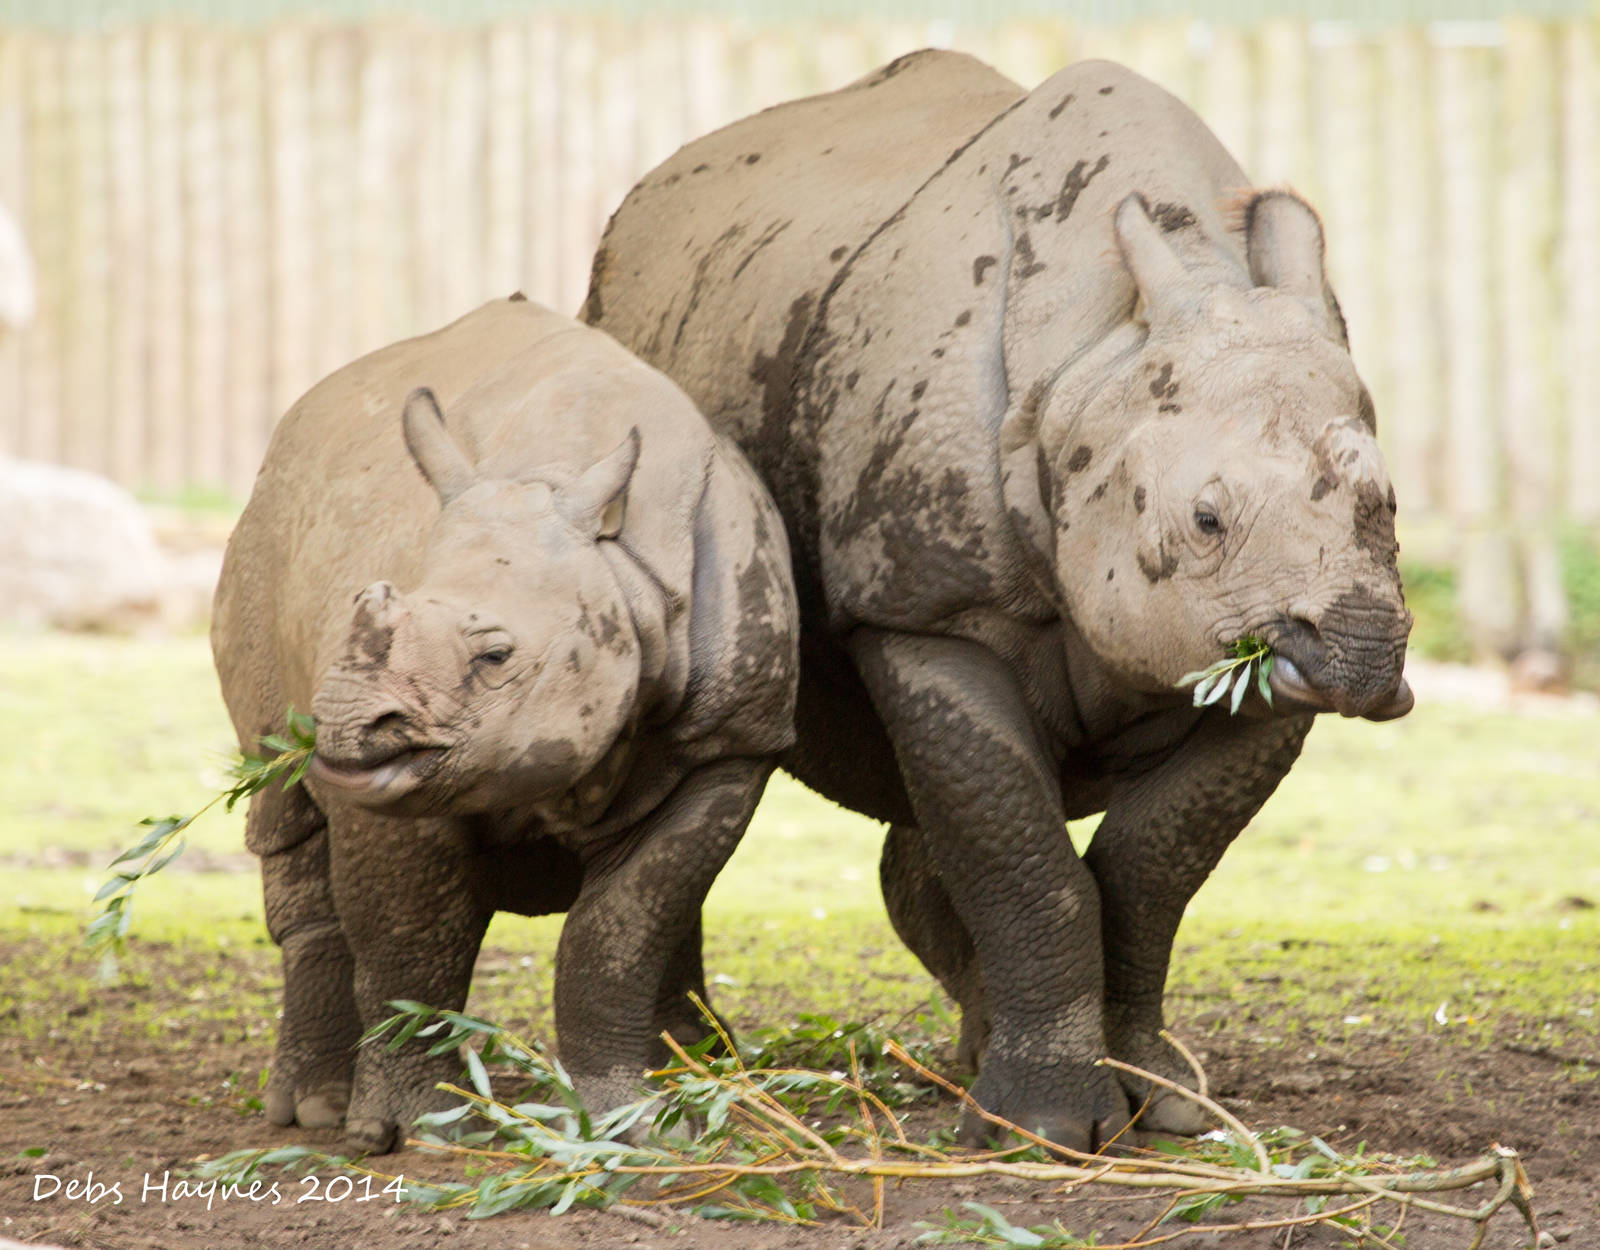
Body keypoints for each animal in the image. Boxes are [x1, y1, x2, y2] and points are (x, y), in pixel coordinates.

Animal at [212, 297, 798, 1153]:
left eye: (495, 655)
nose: (342, 721)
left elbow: (622, 928)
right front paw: (416, 1128)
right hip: (260, 542)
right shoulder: (394, 786)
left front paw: (630, 1123)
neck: (619, 571)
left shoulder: (727, 744)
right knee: (281, 803)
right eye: (368, 606)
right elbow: (411, 937)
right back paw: (314, 1110)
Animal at [583, 52, 1413, 1151]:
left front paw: (1167, 1109)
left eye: (1388, 502)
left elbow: (1150, 867)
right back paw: (692, 1067)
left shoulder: (1256, 664)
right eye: (1203, 518)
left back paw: (960, 1062)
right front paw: (1046, 1130)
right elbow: (1018, 849)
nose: (1362, 652)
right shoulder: (927, 610)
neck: (1098, 358)